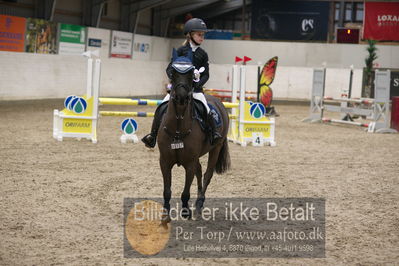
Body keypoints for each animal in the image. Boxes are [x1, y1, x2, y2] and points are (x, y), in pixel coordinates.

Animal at [157, 49, 230, 220]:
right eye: (172, 72)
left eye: (191, 74)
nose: (181, 97)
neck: (178, 129)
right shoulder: (164, 162)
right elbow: (167, 190)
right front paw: (165, 213)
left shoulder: (189, 163)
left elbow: (185, 191)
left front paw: (185, 211)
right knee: (200, 171)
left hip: (216, 148)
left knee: (207, 174)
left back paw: (199, 203)